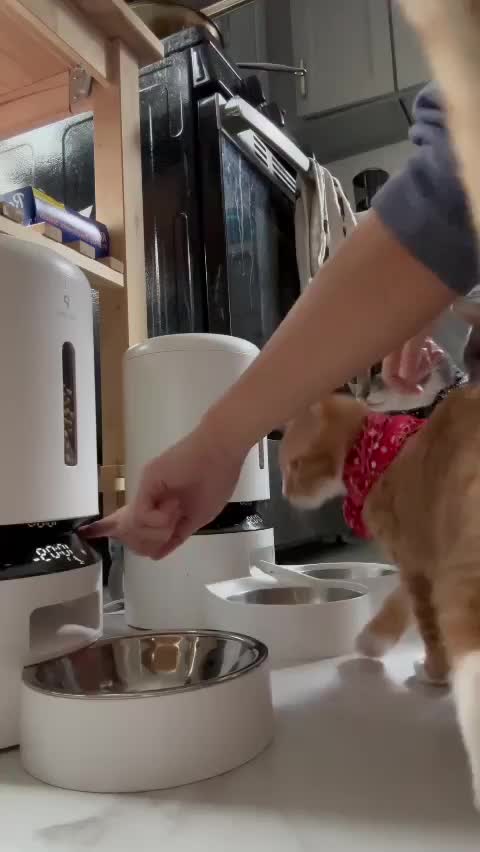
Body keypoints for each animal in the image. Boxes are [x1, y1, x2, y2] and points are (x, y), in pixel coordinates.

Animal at [279, 387, 480, 808]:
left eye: (294, 465)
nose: (285, 493)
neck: (374, 454)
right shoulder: (421, 560)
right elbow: (397, 604)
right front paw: (373, 640)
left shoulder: (419, 563)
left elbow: (428, 627)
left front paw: (433, 672)